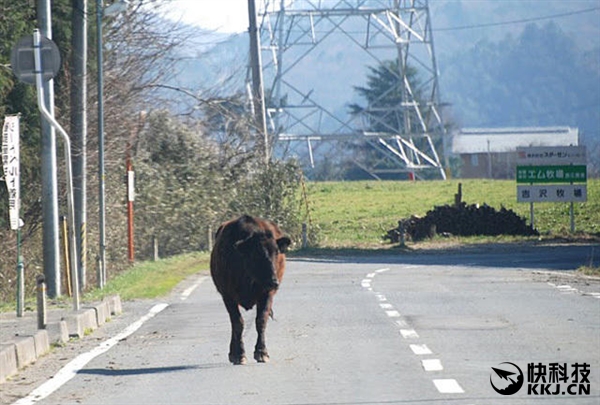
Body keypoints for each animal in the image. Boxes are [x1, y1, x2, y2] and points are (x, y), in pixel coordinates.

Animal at [210, 215, 292, 362]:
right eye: (256, 254)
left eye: (277, 252)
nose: (274, 281)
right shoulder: (228, 296)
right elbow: (238, 323)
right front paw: (239, 354)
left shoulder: (267, 294)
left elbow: (261, 321)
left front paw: (262, 352)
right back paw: (233, 352)